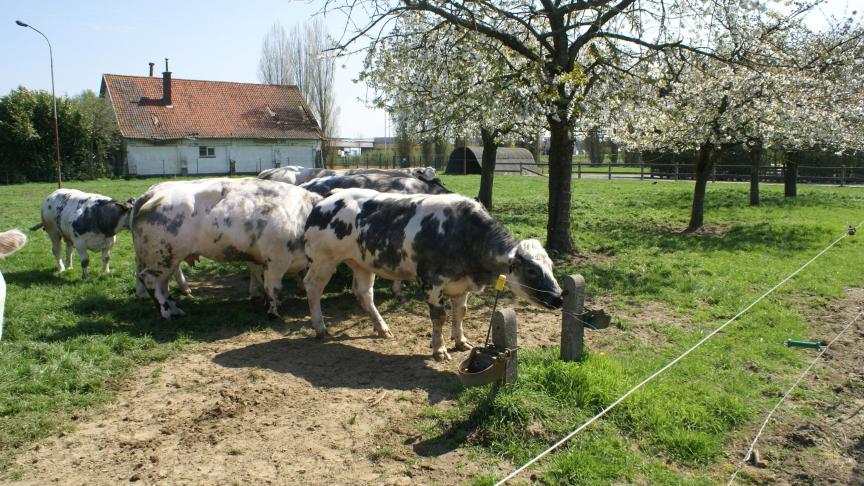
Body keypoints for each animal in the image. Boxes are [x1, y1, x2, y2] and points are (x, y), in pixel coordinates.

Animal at [133, 178, 322, 318]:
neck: (302, 215)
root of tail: (153, 194)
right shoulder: (276, 260)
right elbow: (273, 287)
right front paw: (273, 313)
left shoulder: (262, 260)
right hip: (162, 257)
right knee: (149, 279)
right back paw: (166, 312)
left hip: (169, 260)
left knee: (163, 284)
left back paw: (175, 309)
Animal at [304, 190, 568, 360]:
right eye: (532, 270)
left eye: (551, 266)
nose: (559, 298)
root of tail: (324, 200)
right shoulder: (431, 282)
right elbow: (439, 317)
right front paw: (438, 349)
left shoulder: (461, 284)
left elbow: (460, 313)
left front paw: (460, 340)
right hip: (323, 260)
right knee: (312, 287)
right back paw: (321, 328)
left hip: (362, 263)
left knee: (364, 294)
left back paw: (382, 328)